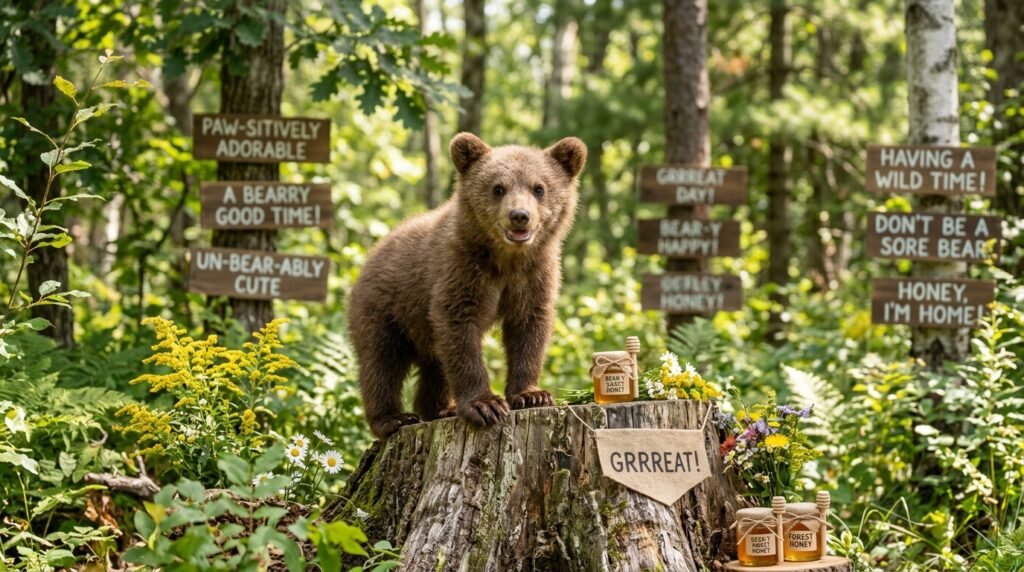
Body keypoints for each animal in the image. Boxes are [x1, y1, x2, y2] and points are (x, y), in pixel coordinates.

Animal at [348, 133, 587, 439]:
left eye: (539, 188)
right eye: (498, 188)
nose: (519, 215)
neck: (506, 259)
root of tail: (370, 254)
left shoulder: (534, 275)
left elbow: (528, 328)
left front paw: (531, 395)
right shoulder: (462, 270)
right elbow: (460, 329)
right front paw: (486, 405)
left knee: (434, 364)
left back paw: (441, 409)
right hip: (383, 308)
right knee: (381, 362)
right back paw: (393, 418)